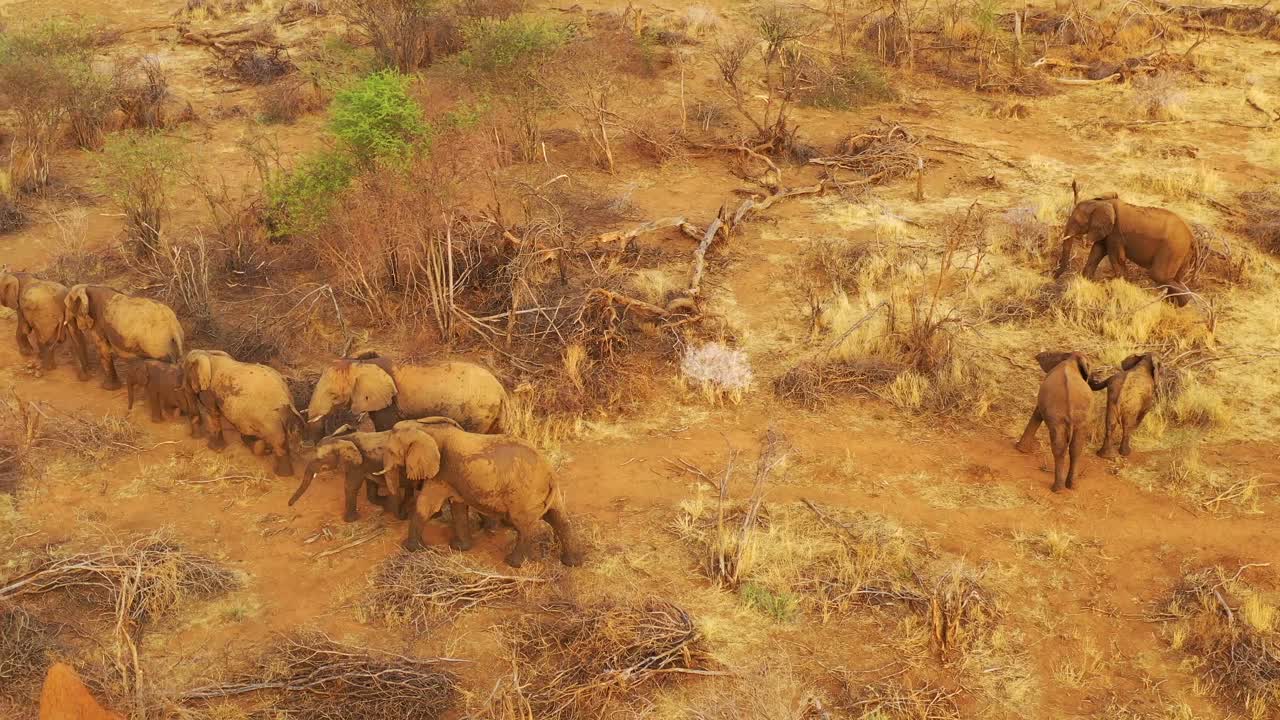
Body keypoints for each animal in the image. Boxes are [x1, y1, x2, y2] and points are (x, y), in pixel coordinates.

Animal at [303, 351, 508, 442]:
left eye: (333, 395)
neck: (360, 363)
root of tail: (501, 390)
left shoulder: (389, 404)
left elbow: (384, 428)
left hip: (478, 413)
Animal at [383, 418, 583, 568]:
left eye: (391, 452)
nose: (400, 515)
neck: (423, 428)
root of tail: (550, 473)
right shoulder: (454, 476)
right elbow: (457, 507)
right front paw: (459, 547)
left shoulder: (441, 473)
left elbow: (426, 505)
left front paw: (410, 548)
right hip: (545, 493)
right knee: (559, 518)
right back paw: (572, 563)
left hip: (524, 493)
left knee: (524, 526)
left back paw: (512, 563)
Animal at [1015, 351, 1094, 493]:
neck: (1071, 358)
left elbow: (1037, 413)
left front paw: (1020, 450)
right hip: (1081, 417)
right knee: (1076, 447)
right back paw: (1071, 486)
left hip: (1057, 417)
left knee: (1059, 446)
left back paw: (1057, 489)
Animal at [1054, 193, 1195, 306]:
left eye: (1077, 222)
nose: (1053, 277)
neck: (1100, 202)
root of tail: (1191, 235)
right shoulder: (1106, 232)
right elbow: (1096, 252)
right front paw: (1086, 281)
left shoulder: (1115, 234)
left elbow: (1116, 258)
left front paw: (1121, 287)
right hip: (1181, 252)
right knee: (1175, 277)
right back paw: (1174, 304)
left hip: (1172, 248)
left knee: (1157, 274)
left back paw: (1182, 301)